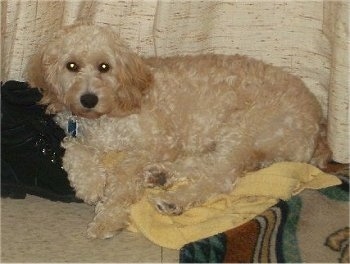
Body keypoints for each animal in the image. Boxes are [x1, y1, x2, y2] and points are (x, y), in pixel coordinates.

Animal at [26, 24, 330, 238]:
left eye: (104, 67)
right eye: (71, 66)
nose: (88, 99)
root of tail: (319, 126)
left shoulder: (158, 142)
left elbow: (123, 176)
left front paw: (107, 219)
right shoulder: (80, 136)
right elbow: (75, 150)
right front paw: (89, 184)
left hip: (243, 128)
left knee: (220, 177)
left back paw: (172, 200)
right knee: (207, 166)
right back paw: (160, 175)